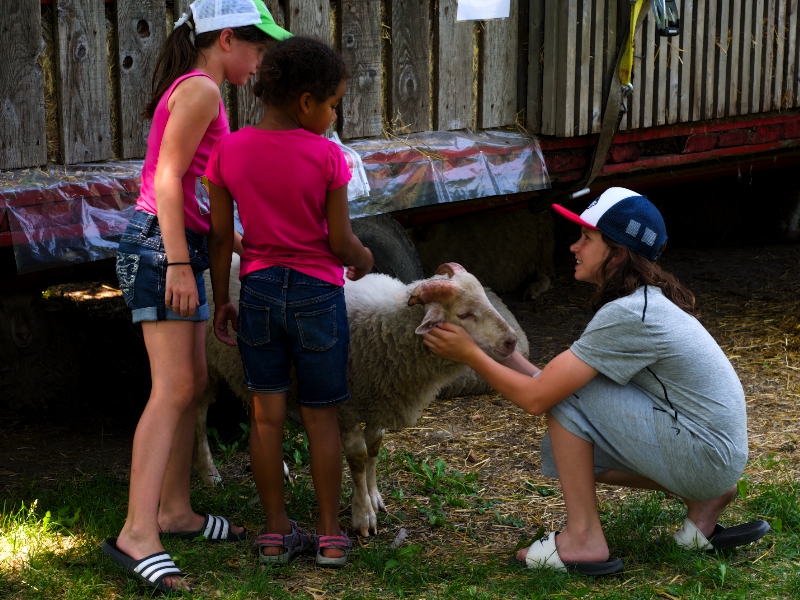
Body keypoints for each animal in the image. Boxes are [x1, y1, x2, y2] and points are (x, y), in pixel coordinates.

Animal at [195, 258, 524, 536]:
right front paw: (363, 514)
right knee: (199, 416)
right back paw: (209, 473)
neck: (388, 327)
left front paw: (374, 495)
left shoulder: (378, 398)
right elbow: (357, 458)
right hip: (207, 364)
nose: (511, 342)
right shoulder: (347, 408)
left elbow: (375, 449)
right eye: (465, 314)